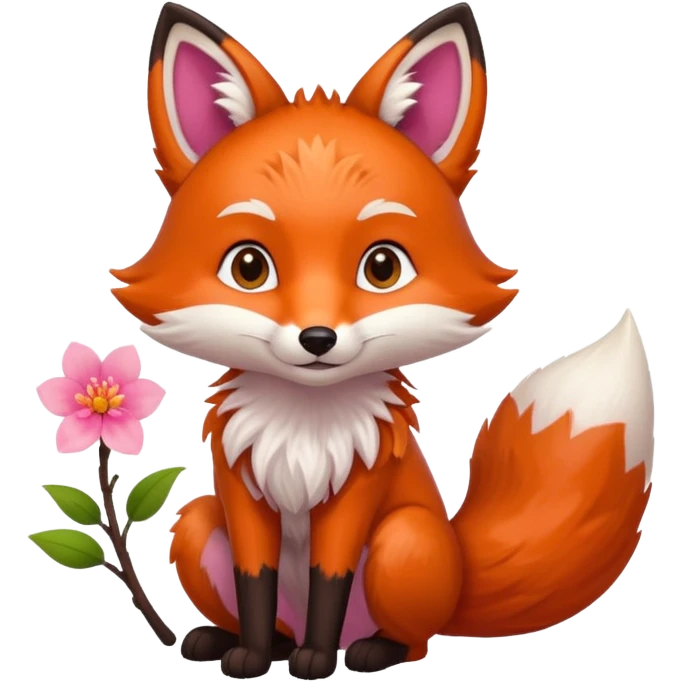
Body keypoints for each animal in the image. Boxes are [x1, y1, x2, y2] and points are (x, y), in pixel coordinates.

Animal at [114, 2, 656, 679]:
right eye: (249, 267)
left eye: (382, 268)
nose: (317, 337)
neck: (304, 426)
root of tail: (461, 575)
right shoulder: (241, 492)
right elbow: (254, 581)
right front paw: (254, 656)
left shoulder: (359, 490)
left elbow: (330, 576)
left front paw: (315, 661)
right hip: (194, 522)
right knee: (269, 609)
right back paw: (235, 640)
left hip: (406, 540)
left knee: (414, 637)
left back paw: (368, 650)